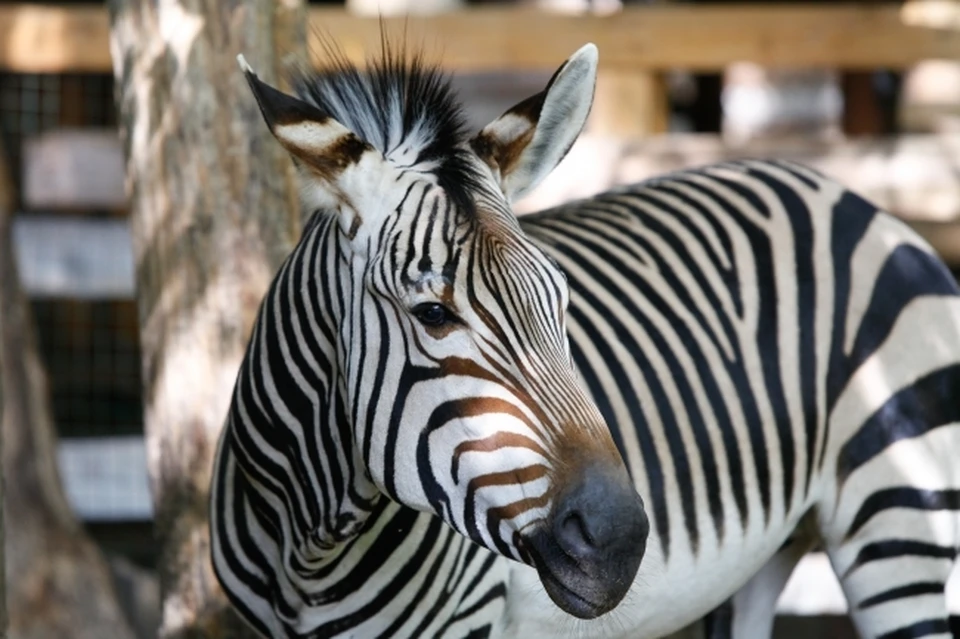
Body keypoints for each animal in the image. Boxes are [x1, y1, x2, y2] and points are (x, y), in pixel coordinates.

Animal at [210, 38, 960, 639]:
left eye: (561, 304)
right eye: (432, 315)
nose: (621, 541)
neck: (311, 547)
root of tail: (854, 200)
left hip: (903, 520)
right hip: (764, 556)